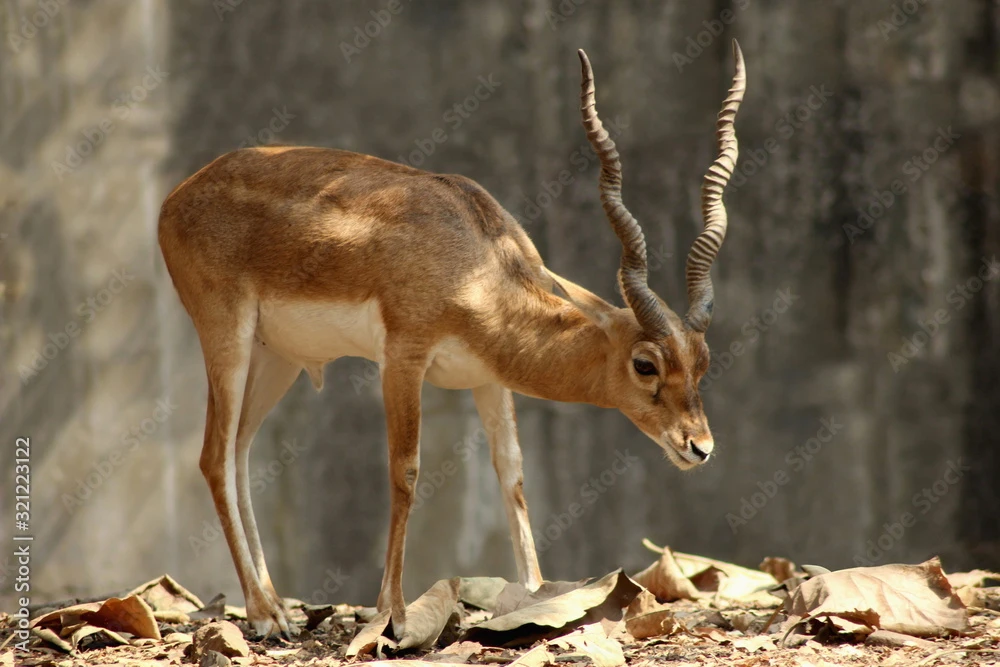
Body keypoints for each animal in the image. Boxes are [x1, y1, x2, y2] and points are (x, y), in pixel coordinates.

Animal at [158, 44, 744, 640]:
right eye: (645, 364)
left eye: (703, 361)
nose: (700, 446)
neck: (475, 264)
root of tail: (177, 195)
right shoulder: (403, 356)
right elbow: (406, 472)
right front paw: (393, 616)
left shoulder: (490, 378)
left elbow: (512, 474)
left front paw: (537, 597)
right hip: (226, 336)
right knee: (212, 458)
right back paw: (261, 612)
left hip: (276, 358)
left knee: (240, 454)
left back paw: (276, 607)